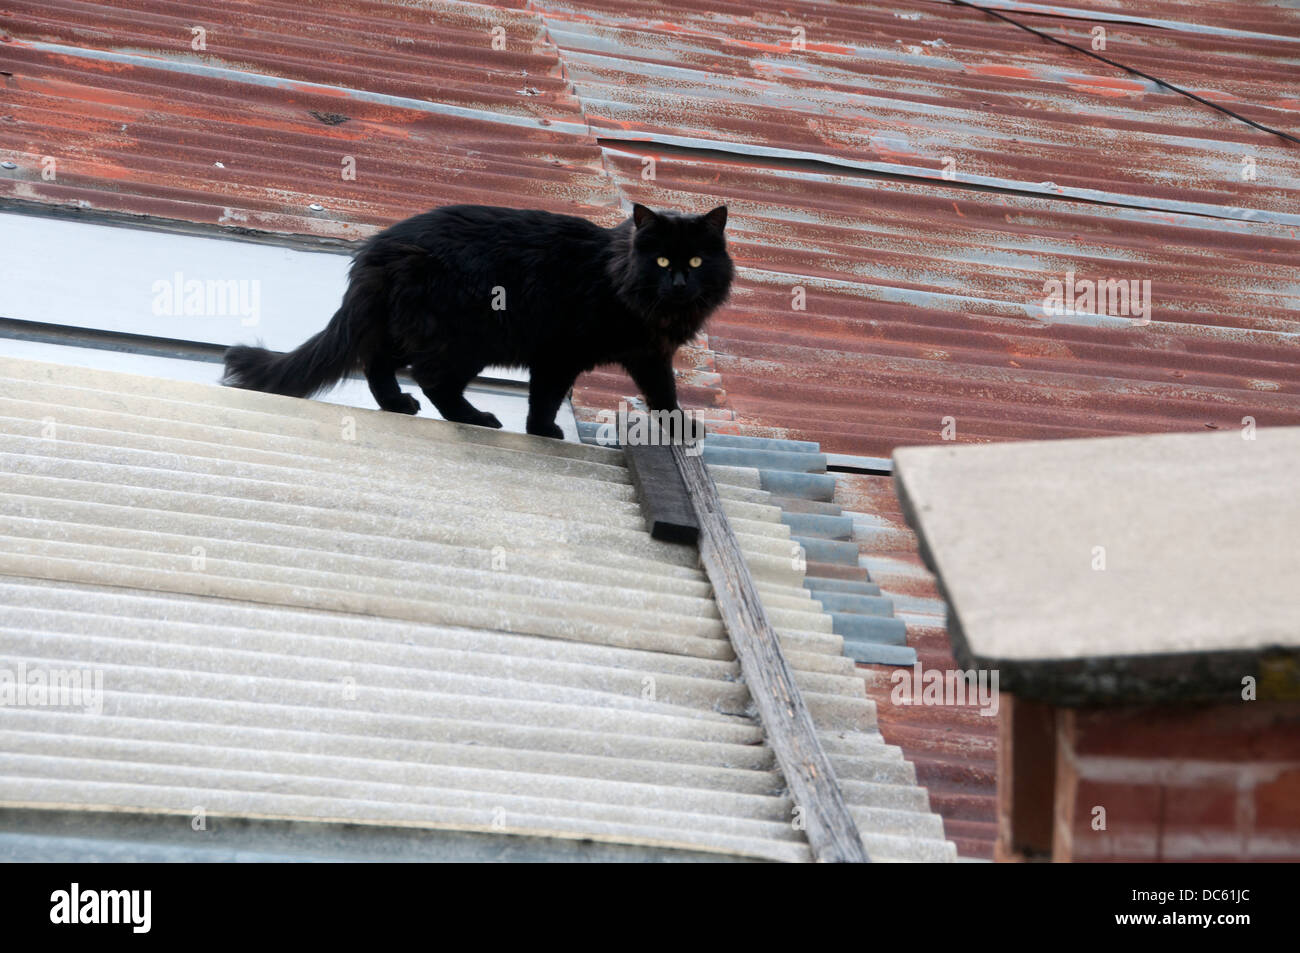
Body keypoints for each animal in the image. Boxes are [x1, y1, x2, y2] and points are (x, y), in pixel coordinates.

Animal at [223, 204, 733, 439]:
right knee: (433, 381)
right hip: (465, 337)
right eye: (662, 261)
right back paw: (476, 418)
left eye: (696, 260)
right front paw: (542, 431)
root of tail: (377, 249)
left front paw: (683, 429)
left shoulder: (649, 355)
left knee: (378, 365)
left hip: (406, 330)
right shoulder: (560, 353)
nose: (680, 282)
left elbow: (664, 394)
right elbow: (545, 398)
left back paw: (398, 405)